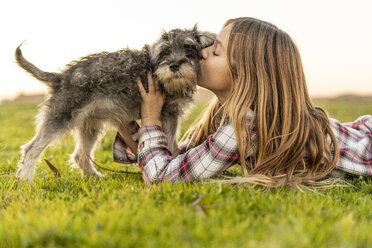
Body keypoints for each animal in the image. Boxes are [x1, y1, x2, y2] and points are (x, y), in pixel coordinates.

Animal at [16, 25, 217, 182]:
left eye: (189, 47)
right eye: (165, 52)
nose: (174, 65)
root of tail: (60, 77)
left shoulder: (171, 115)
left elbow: (172, 143)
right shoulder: (168, 115)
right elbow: (170, 144)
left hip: (90, 126)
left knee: (80, 155)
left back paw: (95, 177)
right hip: (61, 118)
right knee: (31, 149)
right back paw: (26, 181)